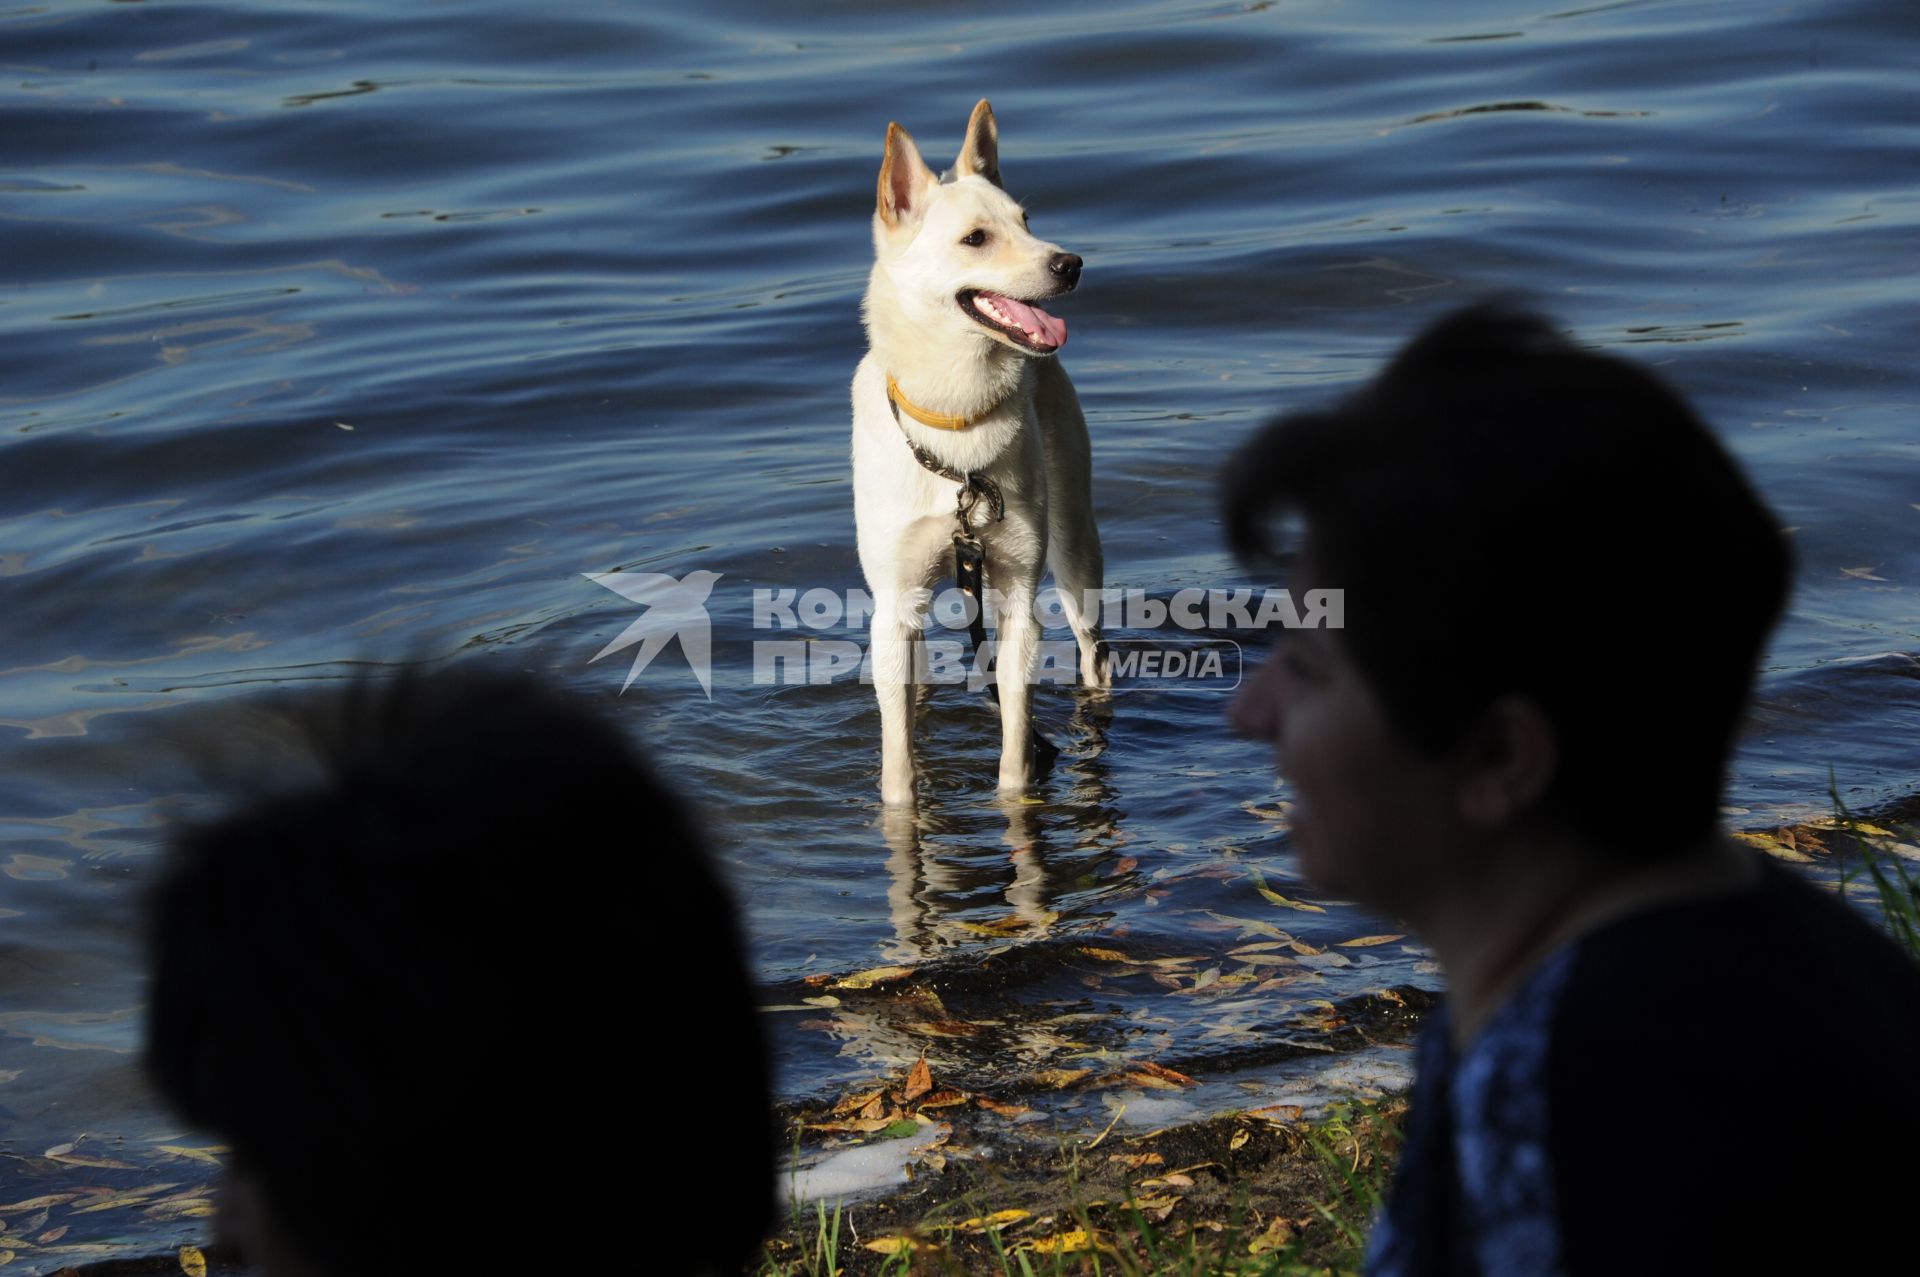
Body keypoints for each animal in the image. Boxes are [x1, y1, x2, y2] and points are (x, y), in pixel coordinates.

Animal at [848, 107, 1105, 806]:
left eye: (1026, 220)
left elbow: (1015, 750)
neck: (956, 421)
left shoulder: (1017, 597)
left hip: (1078, 551)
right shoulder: (894, 605)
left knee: (1094, 654)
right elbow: (898, 770)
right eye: (975, 239)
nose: (1071, 263)